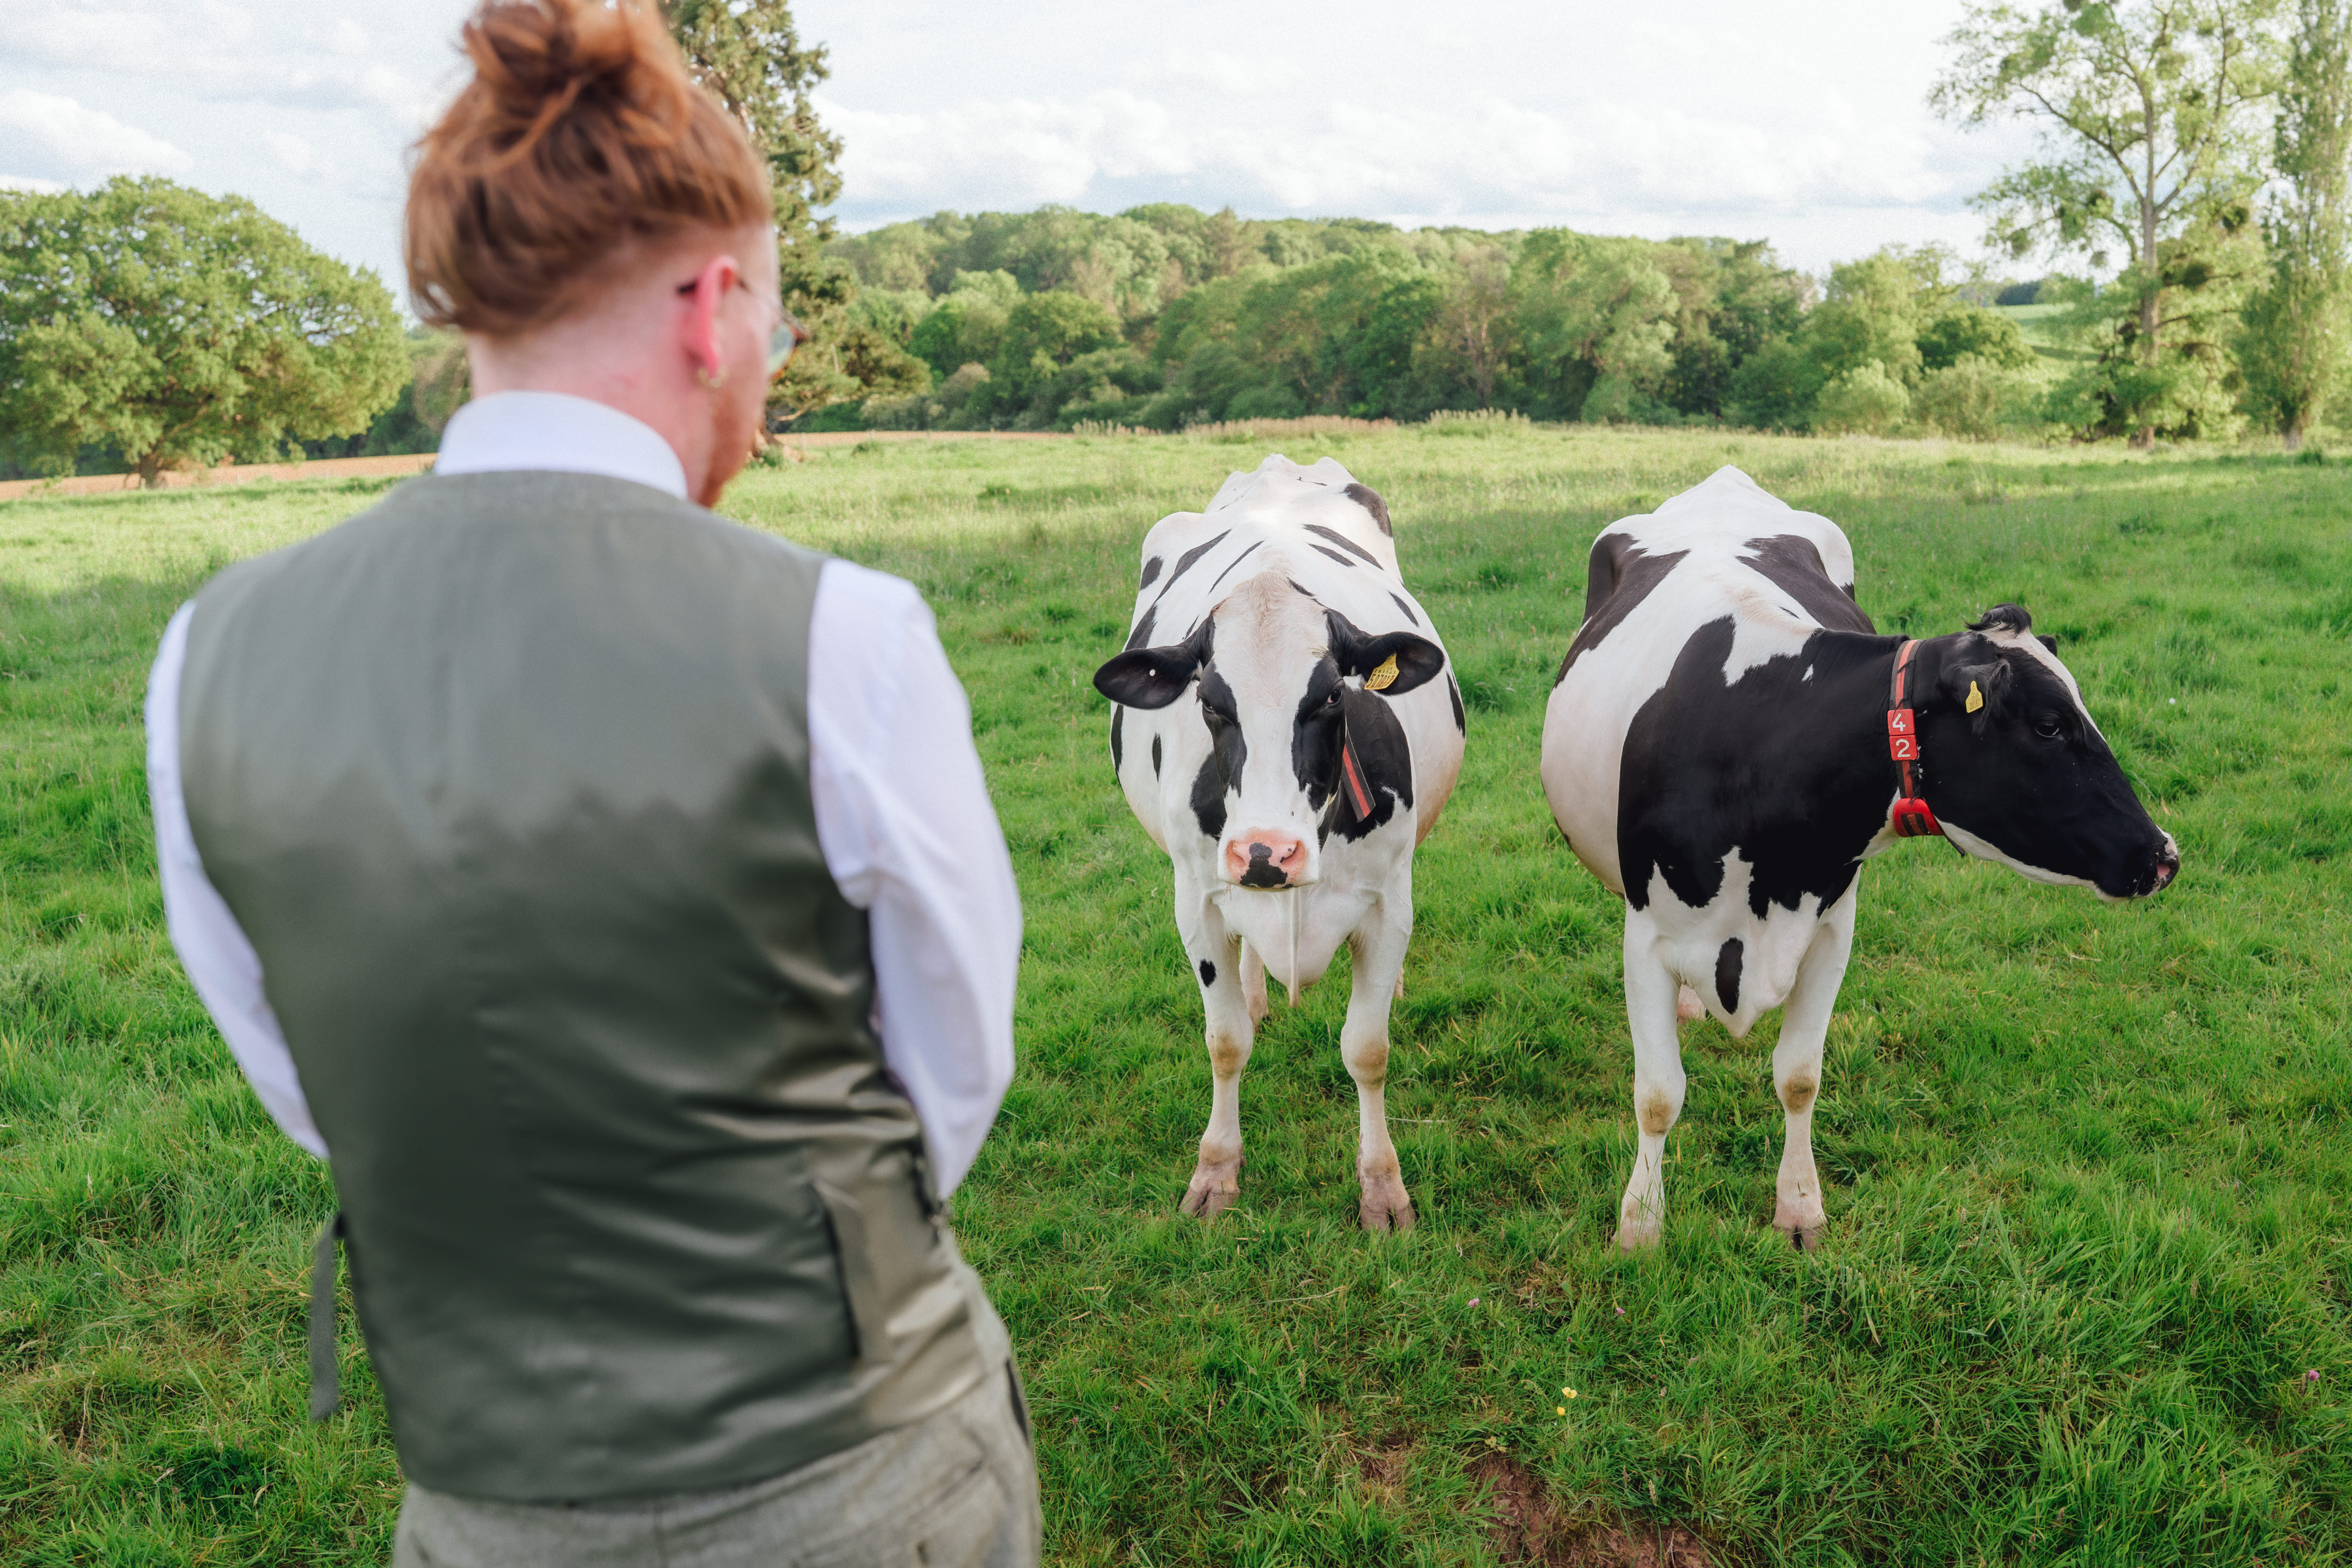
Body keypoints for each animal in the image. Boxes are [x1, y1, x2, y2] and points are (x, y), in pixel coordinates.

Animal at [1091, 455, 1467, 1231]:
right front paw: (1215, 1172)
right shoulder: (1198, 901)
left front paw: (1382, 1187)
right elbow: (1226, 1040)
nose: (1267, 852)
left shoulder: (1388, 903)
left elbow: (1367, 1048)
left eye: (1330, 697)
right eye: (1210, 703)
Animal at [1541, 466, 2179, 1252]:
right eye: (2050, 725)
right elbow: (1659, 1095)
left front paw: (1800, 1209)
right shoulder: (1648, 935)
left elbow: (1799, 1077)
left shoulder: (1830, 926)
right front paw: (1640, 1228)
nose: (2163, 855)